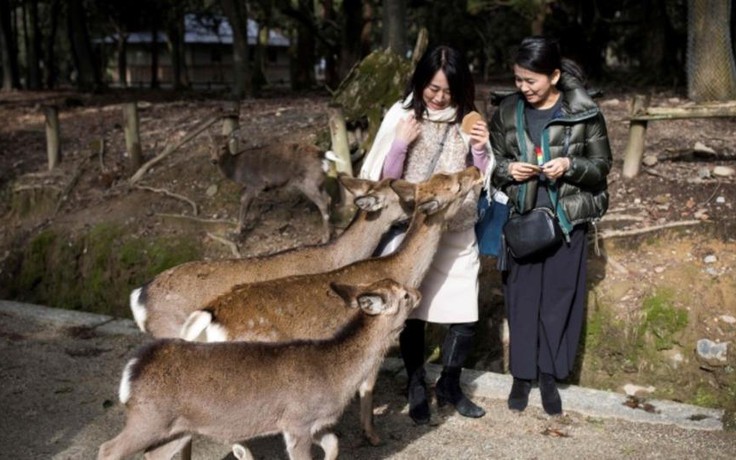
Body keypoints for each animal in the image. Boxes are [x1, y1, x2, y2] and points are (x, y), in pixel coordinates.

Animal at [98, 276, 420, 460]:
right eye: (403, 295)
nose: (417, 293)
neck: (337, 375)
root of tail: (132, 371)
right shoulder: (297, 420)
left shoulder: (315, 423)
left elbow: (333, 445)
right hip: (148, 418)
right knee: (108, 449)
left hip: (176, 428)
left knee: (152, 454)